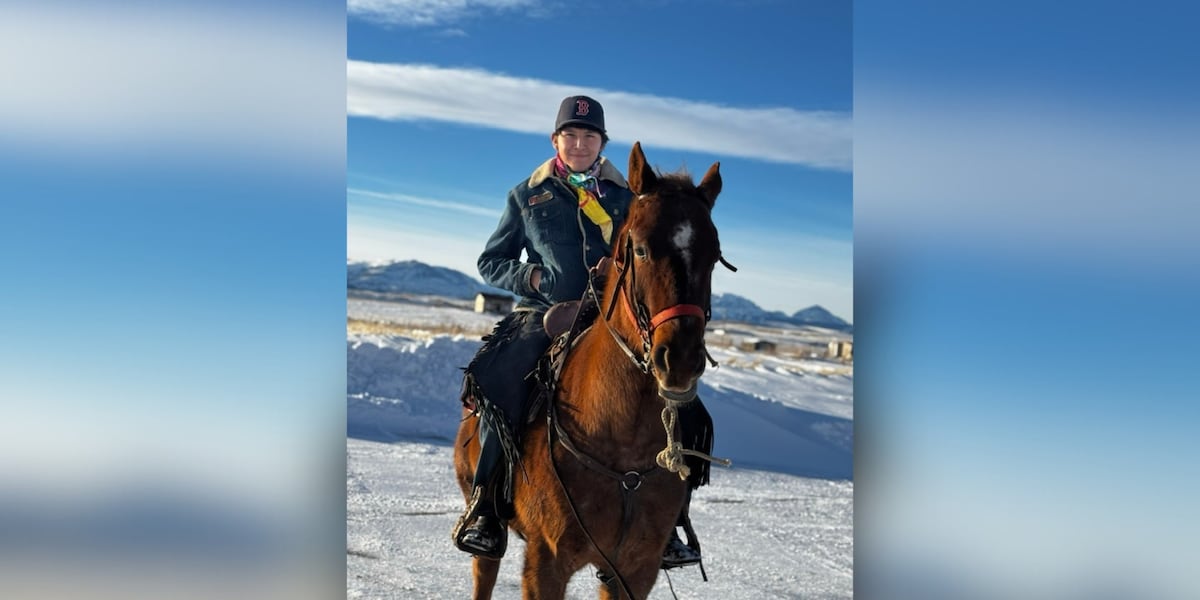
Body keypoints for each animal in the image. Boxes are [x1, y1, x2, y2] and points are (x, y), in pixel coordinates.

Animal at [456, 142, 720, 597]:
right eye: (640, 248)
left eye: (715, 257)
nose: (680, 361)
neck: (621, 442)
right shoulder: (546, 563)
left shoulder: (634, 570)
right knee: (484, 571)